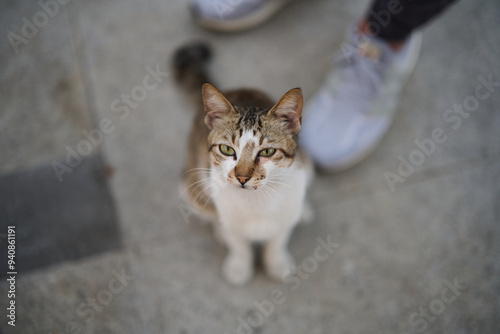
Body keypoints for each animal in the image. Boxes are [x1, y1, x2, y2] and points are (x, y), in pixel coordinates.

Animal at [172, 41, 312, 286]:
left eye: (267, 151)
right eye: (227, 149)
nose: (242, 177)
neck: (256, 200)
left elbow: (279, 239)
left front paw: (277, 263)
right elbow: (238, 243)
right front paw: (239, 266)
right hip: (190, 185)